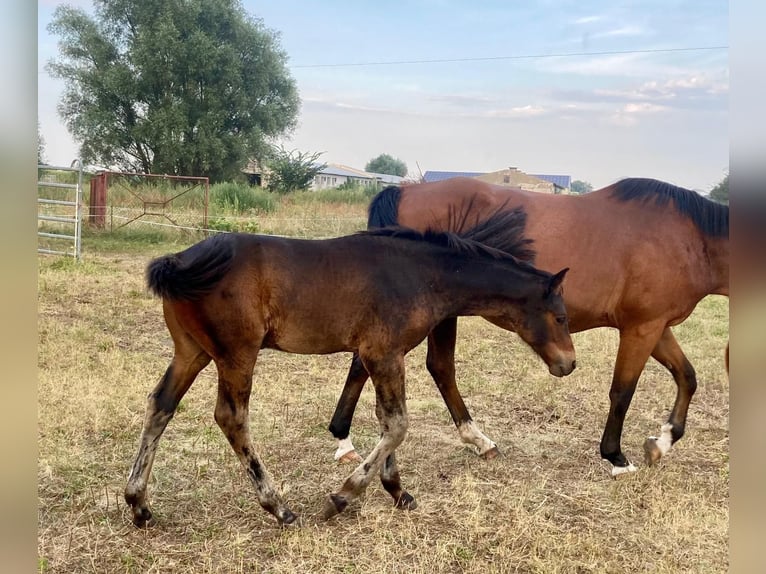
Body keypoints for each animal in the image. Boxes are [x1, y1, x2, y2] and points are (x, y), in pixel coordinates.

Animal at [124, 209, 576, 528]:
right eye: (560, 316)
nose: (569, 364)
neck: (420, 274)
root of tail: (181, 260)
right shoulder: (383, 353)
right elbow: (398, 424)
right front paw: (343, 496)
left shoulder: (384, 356)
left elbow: (385, 419)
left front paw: (397, 491)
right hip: (236, 354)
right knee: (231, 417)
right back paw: (278, 507)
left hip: (193, 352)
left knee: (160, 404)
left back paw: (138, 504)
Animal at [330, 178, 732, 480]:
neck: (689, 238)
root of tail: (407, 190)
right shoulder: (640, 329)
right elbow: (622, 392)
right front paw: (616, 457)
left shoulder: (657, 327)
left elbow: (687, 377)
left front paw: (661, 442)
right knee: (430, 367)